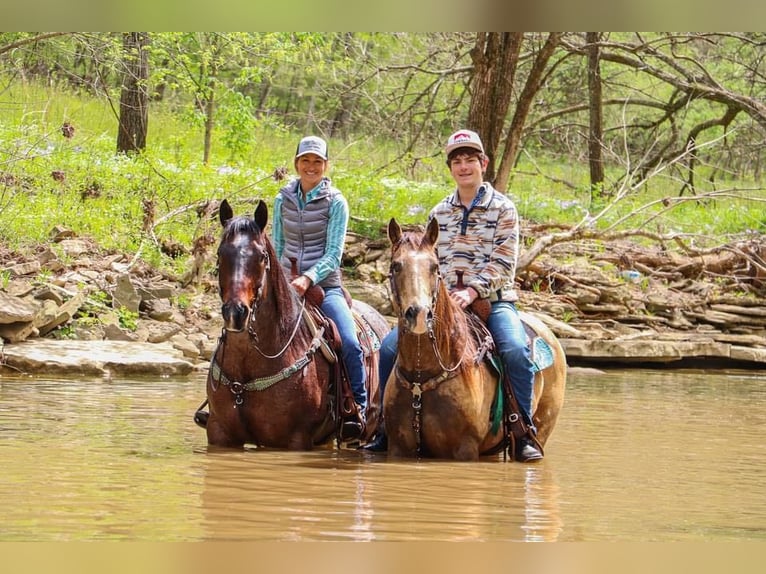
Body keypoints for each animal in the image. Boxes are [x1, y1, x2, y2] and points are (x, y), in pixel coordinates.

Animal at [388, 218, 568, 462]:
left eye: (434, 267)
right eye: (396, 266)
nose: (419, 314)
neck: (421, 378)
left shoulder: (466, 449)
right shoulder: (398, 448)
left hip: (544, 425)